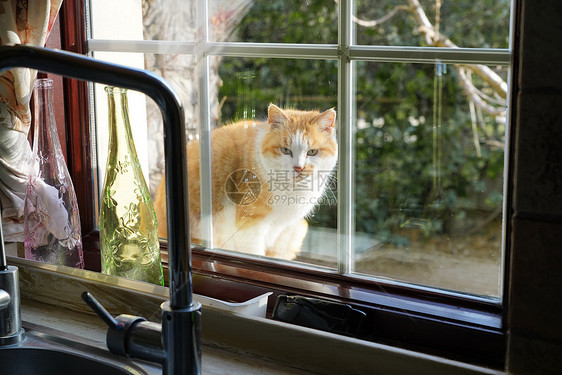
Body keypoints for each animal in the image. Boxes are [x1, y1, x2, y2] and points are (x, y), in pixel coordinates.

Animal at [153, 104, 334, 260]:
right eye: (285, 150)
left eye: (312, 152)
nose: (299, 168)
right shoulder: (250, 226)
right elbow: (255, 252)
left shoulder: (280, 229)